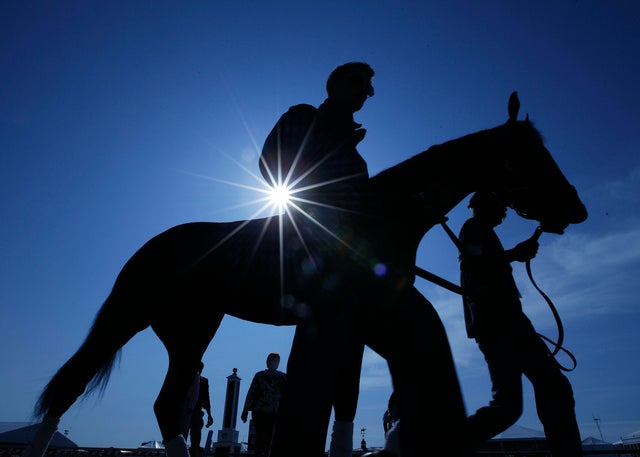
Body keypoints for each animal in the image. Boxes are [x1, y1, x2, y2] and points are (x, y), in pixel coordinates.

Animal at [24, 92, 587, 457]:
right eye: (530, 155)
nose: (576, 209)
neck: (380, 216)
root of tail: (150, 246)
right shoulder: (345, 320)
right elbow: (338, 397)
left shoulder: (367, 324)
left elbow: (349, 399)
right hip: (140, 317)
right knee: (76, 387)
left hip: (189, 330)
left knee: (165, 404)